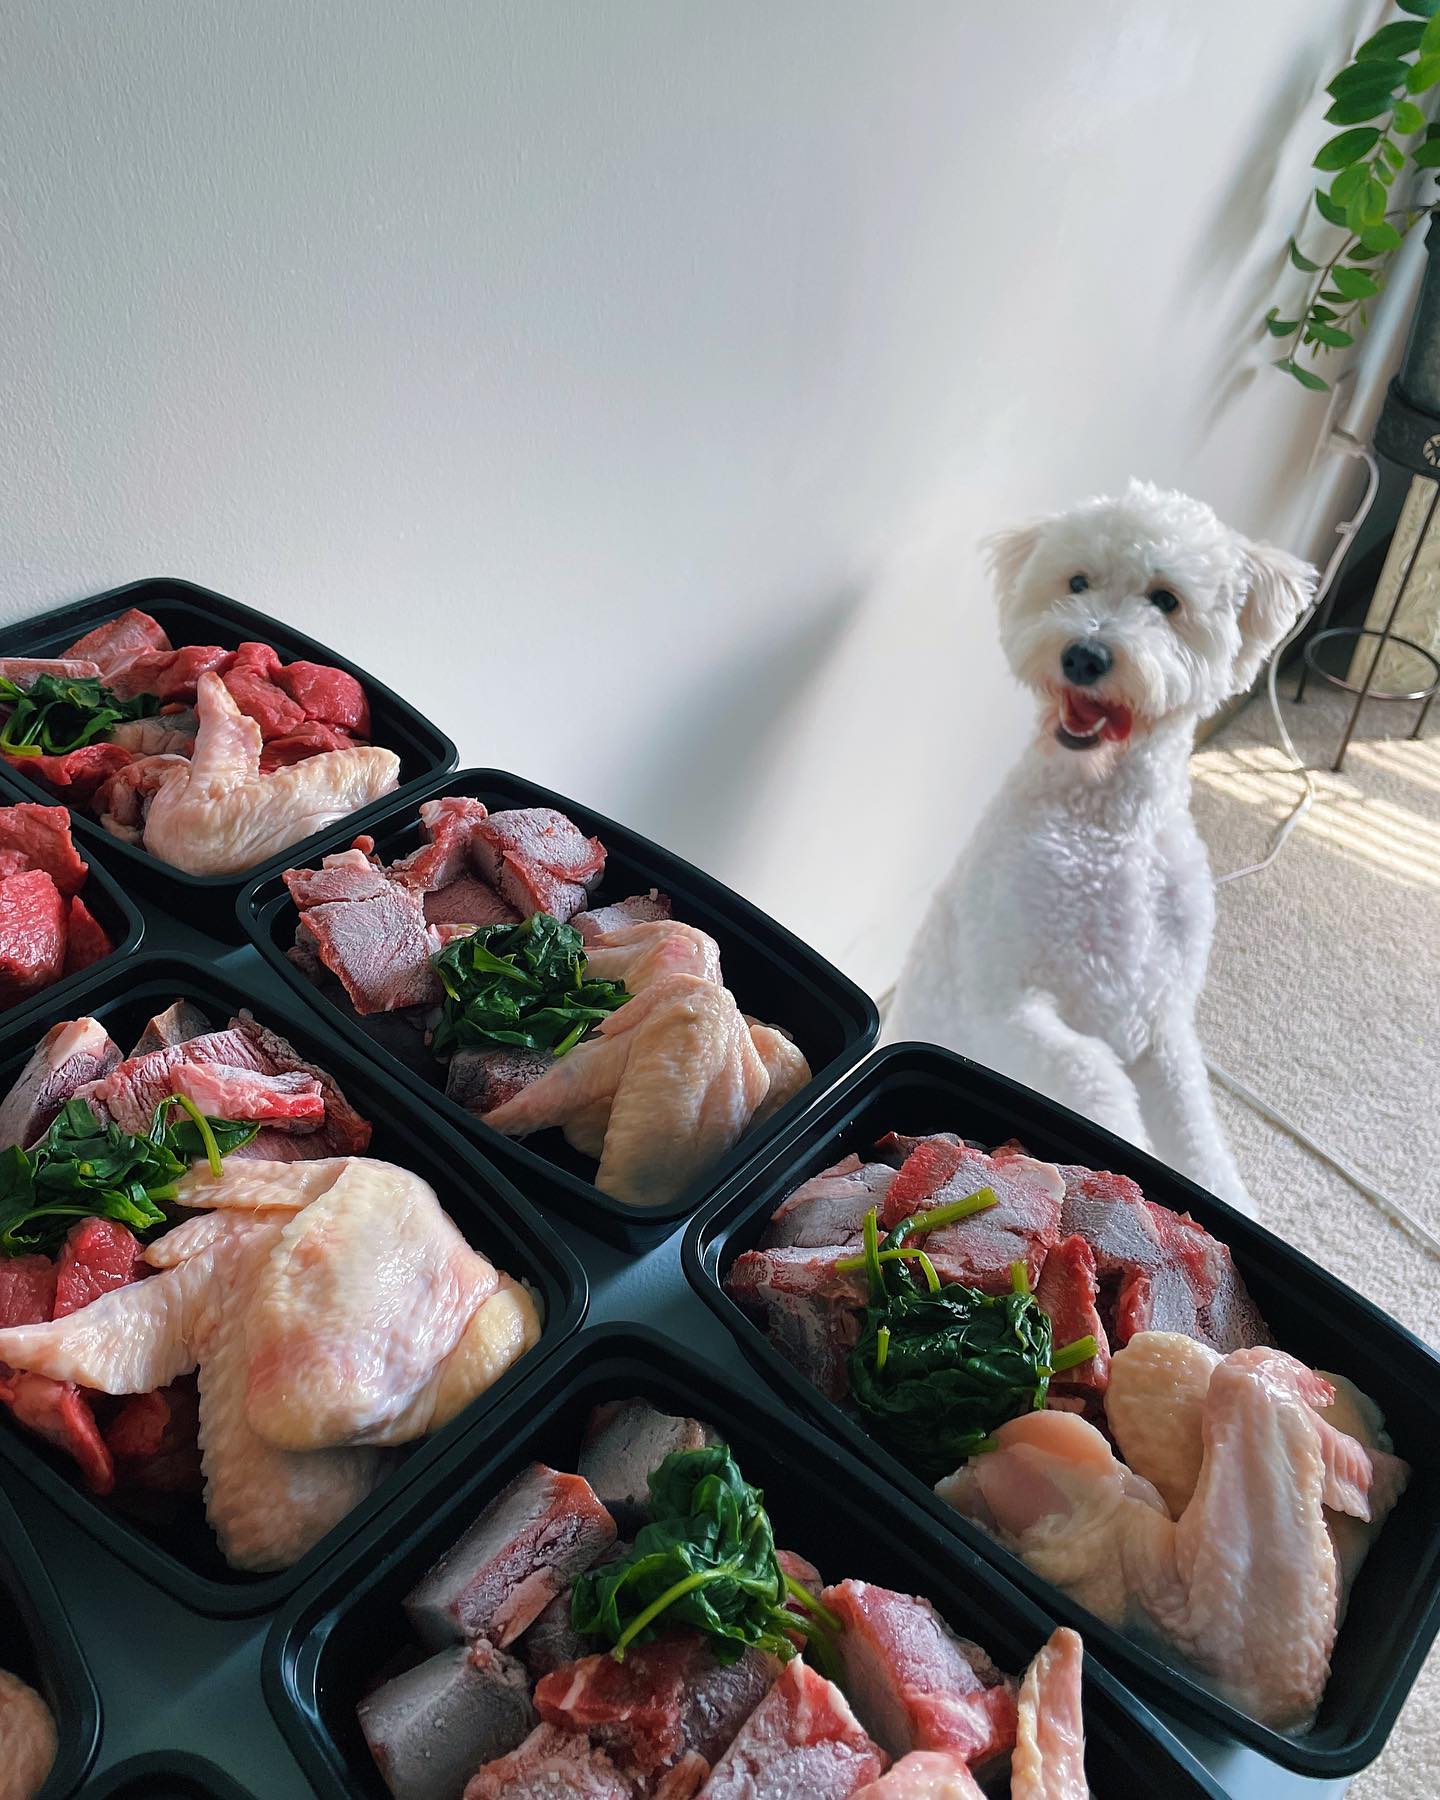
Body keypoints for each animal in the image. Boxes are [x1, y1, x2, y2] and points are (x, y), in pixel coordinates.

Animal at [889, 478, 1317, 1216]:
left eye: (1165, 599)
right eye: (1076, 581)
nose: (1083, 656)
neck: (1105, 827)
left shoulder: (1164, 1022)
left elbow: (1199, 1135)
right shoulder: (1008, 1005)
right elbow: (1097, 1079)